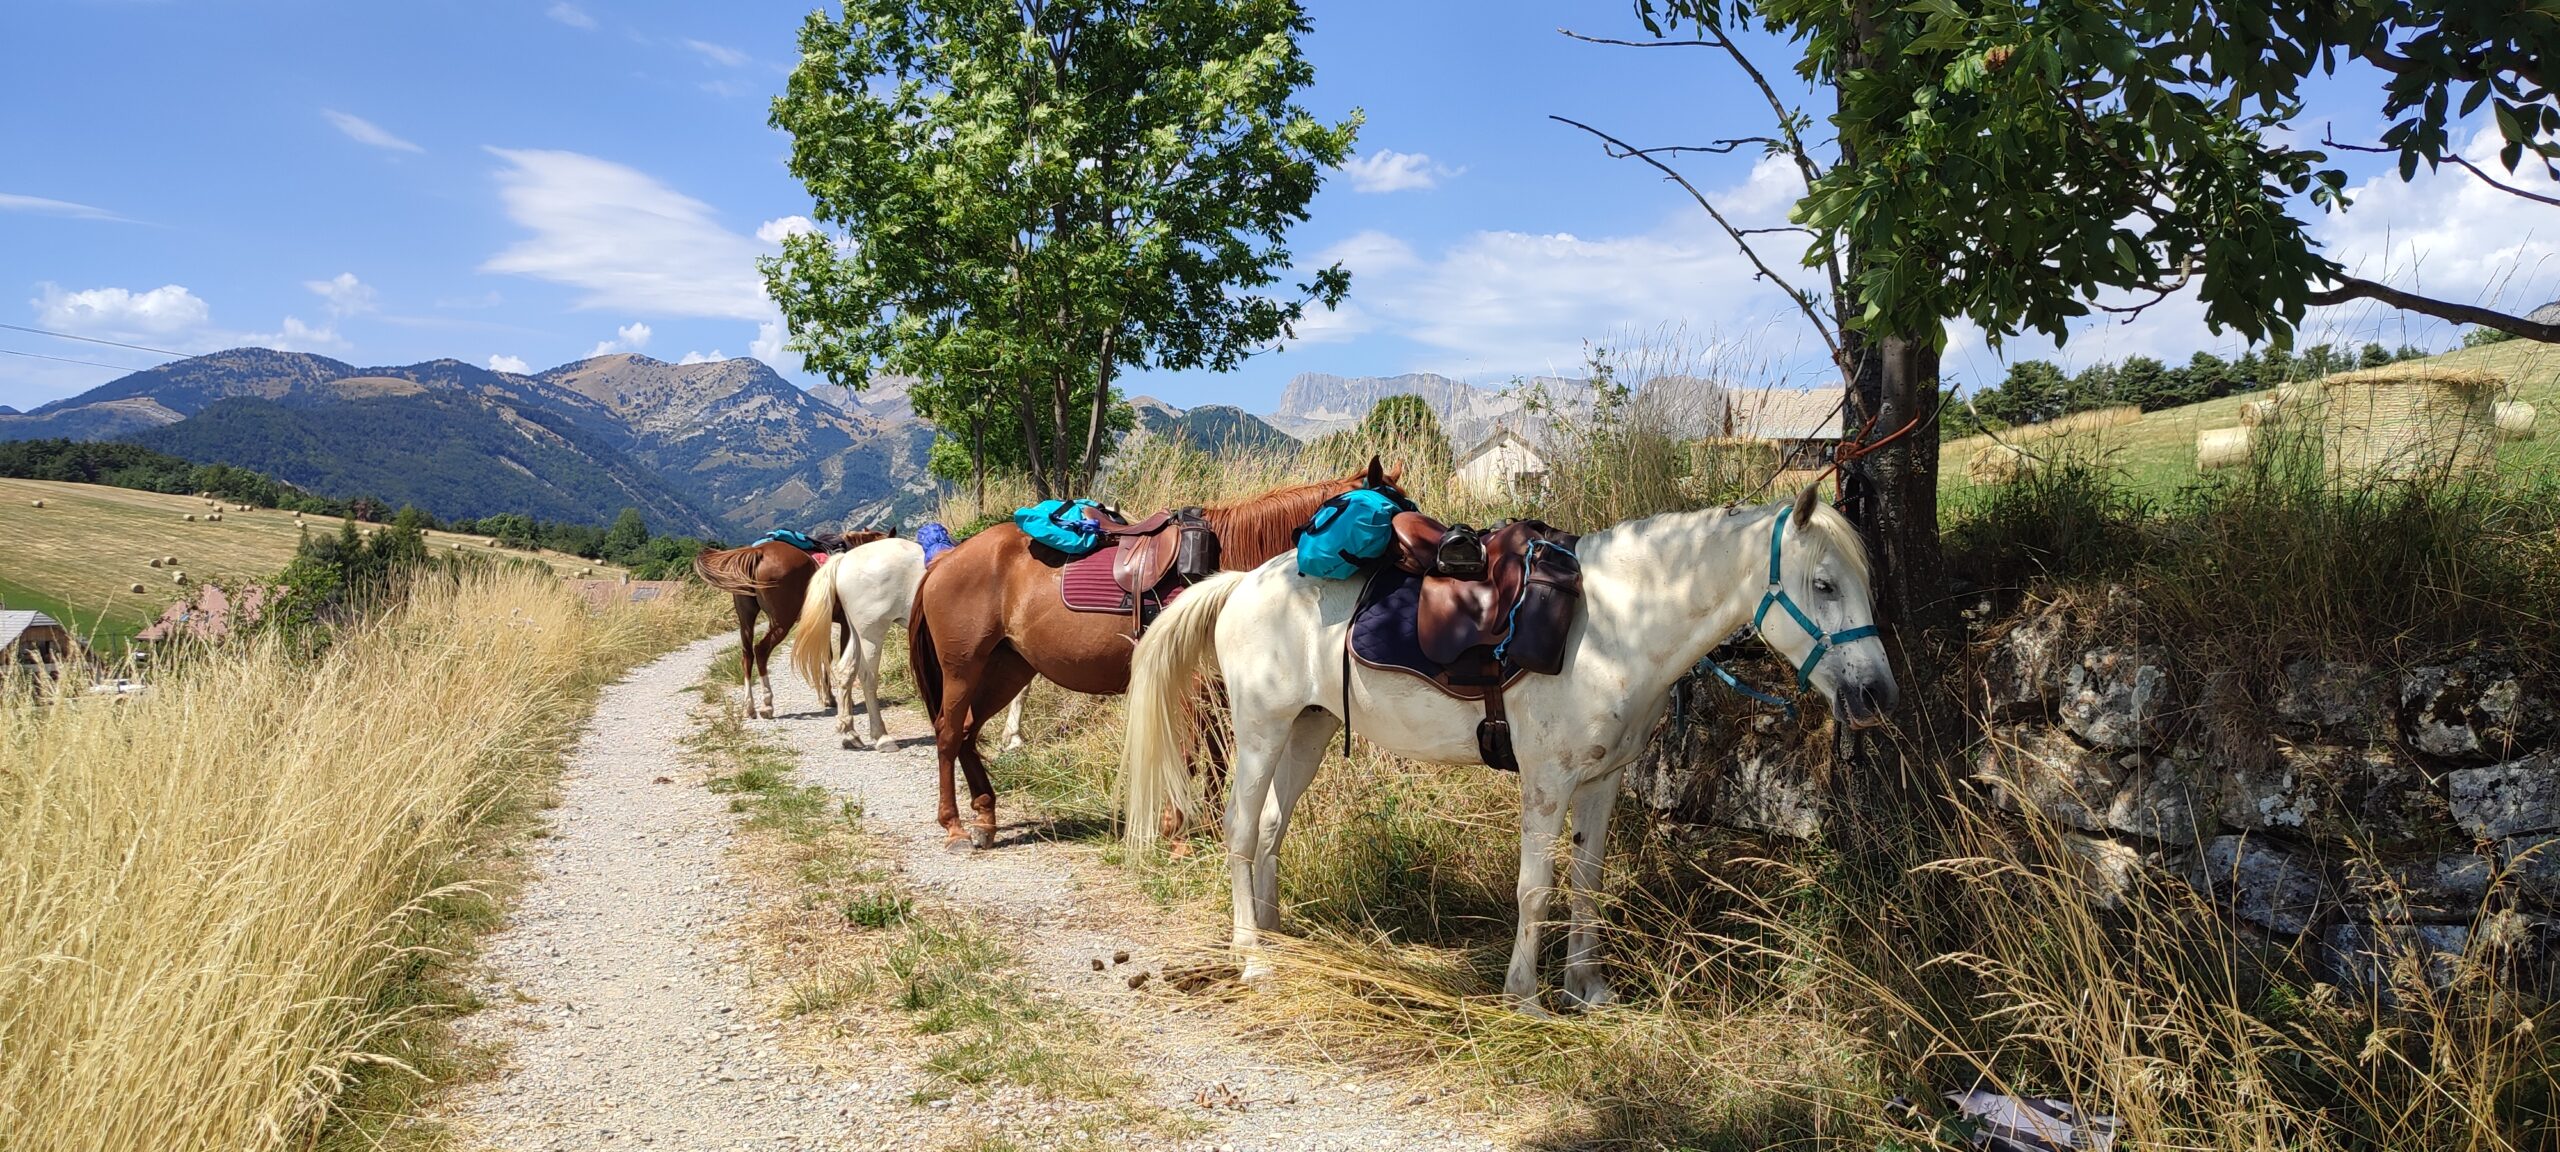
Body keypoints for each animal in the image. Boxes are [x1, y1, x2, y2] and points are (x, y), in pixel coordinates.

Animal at [696, 532, 896, 716]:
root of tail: (758, 552)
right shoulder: (846, 624)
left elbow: (825, 655)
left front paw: (829, 698)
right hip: (782, 621)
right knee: (760, 651)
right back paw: (767, 704)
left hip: (746, 619)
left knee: (746, 655)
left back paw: (749, 706)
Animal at [788, 540, 1018, 757]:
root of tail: (845, 559)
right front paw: (1013, 738)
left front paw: (1012, 737)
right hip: (872, 634)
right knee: (867, 678)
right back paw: (882, 737)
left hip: (857, 632)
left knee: (845, 671)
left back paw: (850, 733)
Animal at [911, 455, 1413, 844]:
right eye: (1391, 518)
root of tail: (945, 562)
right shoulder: (1194, 683)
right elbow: (1194, 754)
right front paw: (1179, 828)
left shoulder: (1214, 686)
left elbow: (1216, 754)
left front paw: (1205, 825)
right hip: (963, 667)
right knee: (948, 734)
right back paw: (954, 826)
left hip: (1007, 668)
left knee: (968, 733)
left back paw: (986, 817)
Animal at [1126, 491, 1904, 1013]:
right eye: (1823, 584)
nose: (1877, 695)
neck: (1615, 626)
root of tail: (1242, 584)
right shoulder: (1547, 782)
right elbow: (1536, 887)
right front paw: (1525, 996)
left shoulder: (1603, 781)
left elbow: (1588, 881)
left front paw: (1588, 988)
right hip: (1260, 730)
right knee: (1237, 830)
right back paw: (1250, 955)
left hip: (1308, 730)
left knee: (1268, 828)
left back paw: (1276, 935)